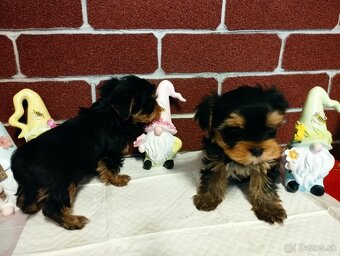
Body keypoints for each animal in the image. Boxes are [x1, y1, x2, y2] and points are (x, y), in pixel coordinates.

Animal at [10, 76, 162, 230]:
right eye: (151, 102)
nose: (161, 109)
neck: (111, 113)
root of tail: (18, 161)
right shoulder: (110, 153)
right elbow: (110, 168)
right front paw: (118, 180)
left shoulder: (100, 156)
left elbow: (102, 168)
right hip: (63, 181)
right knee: (51, 208)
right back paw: (74, 221)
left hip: (32, 184)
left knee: (22, 199)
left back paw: (33, 205)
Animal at [194, 85, 290, 224]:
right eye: (234, 132)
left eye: (269, 128)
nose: (258, 151)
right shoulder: (215, 158)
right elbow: (213, 177)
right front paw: (208, 198)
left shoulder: (266, 162)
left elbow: (264, 183)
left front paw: (269, 208)